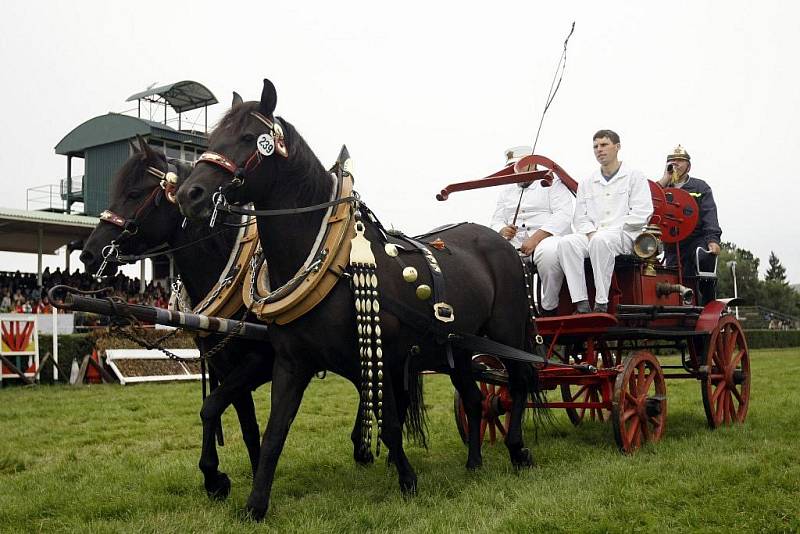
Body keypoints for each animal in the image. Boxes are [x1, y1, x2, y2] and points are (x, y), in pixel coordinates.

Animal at [78, 138, 372, 502]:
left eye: (134, 193)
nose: (89, 253)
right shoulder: (226, 366)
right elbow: (241, 423)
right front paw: (244, 472)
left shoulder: (258, 364)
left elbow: (211, 406)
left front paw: (216, 477)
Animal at [175, 79, 536, 524]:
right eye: (210, 139)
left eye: (247, 138)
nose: (190, 194)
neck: (331, 264)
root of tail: (503, 243)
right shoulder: (291, 363)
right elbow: (274, 431)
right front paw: (255, 504)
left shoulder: (385, 357)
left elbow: (391, 425)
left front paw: (408, 481)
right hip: (459, 349)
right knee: (473, 399)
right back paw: (474, 463)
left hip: (506, 332)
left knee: (519, 382)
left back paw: (518, 451)